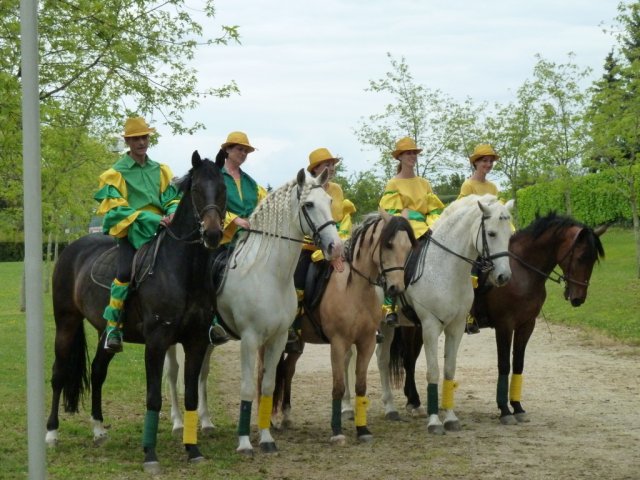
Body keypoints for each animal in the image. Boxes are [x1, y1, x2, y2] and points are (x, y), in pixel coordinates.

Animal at [45, 152, 225, 474]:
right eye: (195, 190)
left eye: (223, 188)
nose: (213, 233)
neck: (182, 270)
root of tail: (71, 248)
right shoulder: (156, 342)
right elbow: (153, 398)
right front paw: (150, 454)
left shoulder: (195, 341)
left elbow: (192, 395)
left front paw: (193, 449)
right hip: (65, 323)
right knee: (58, 374)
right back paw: (51, 434)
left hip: (105, 332)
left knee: (98, 372)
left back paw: (98, 430)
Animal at [165, 167, 344, 456]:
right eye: (308, 204)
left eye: (329, 201)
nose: (335, 247)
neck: (269, 274)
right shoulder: (249, 340)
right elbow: (248, 388)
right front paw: (245, 442)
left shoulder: (278, 339)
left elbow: (268, 386)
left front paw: (267, 438)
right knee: (172, 373)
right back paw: (178, 423)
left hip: (207, 339)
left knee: (202, 373)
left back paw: (206, 422)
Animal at [264, 212, 416, 444]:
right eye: (388, 244)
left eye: (408, 246)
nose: (396, 288)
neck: (354, 288)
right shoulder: (338, 343)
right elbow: (338, 386)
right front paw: (336, 431)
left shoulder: (366, 343)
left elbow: (360, 385)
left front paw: (363, 430)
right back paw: (269, 420)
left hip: (298, 343)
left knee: (287, 370)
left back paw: (287, 417)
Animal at [344, 193, 516, 434]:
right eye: (491, 233)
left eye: (509, 234)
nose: (503, 277)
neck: (446, 268)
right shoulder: (430, 327)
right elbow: (433, 371)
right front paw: (435, 422)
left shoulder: (455, 328)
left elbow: (449, 370)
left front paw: (451, 418)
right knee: (348, 359)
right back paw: (347, 407)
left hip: (387, 325)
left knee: (382, 359)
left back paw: (390, 408)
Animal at [384, 212, 604, 426]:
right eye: (581, 257)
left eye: (593, 260)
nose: (578, 298)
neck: (521, 271)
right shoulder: (504, 325)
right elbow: (504, 365)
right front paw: (505, 410)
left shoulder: (527, 325)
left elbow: (518, 364)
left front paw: (518, 407)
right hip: (413, 327)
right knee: (409, 359)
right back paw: (414, 402)